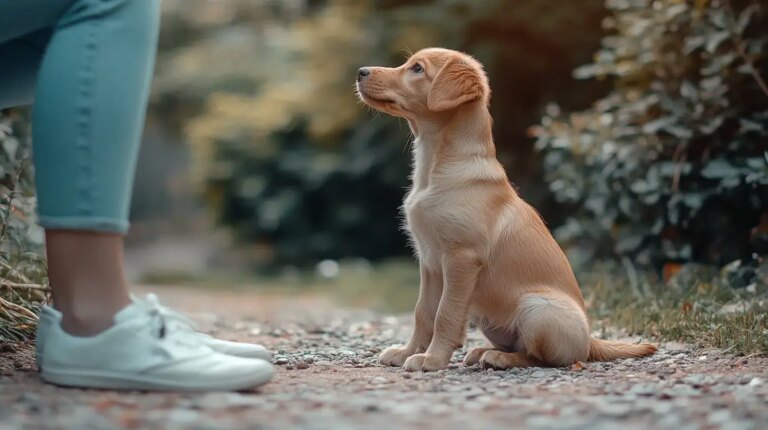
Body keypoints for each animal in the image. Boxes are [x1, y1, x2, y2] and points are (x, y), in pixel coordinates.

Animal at [356, 46, 656, 370]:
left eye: (417, 69)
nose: (361, 71)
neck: (435, 168)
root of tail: (591, 340)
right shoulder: (430, 261)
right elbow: (423, 312)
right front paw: (407, 351)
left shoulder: (461, 259)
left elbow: (445, 314)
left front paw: (432, 359)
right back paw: (481, 351)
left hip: (536, 308)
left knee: (542, 358)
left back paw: (498, 357)